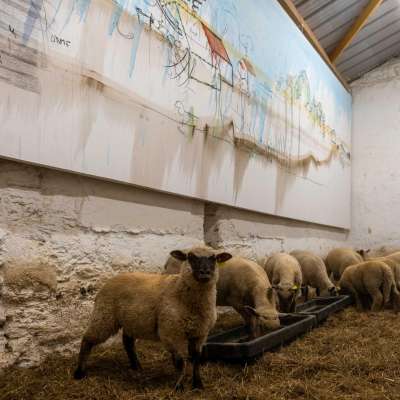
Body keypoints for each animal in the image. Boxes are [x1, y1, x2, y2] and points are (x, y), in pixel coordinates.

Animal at [73, 246, 232, 391]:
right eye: (191, 257)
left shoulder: (200, 333)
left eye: (214, 258)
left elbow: (196, 359)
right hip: (104, 316)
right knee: (87, 340)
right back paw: (79, 373)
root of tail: (113, 279)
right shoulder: (172, 332)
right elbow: (180, 361)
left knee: (127, 342)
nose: (205, 272)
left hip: (130, 321)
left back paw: (136, 366)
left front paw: (198, 384)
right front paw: (179, 386)